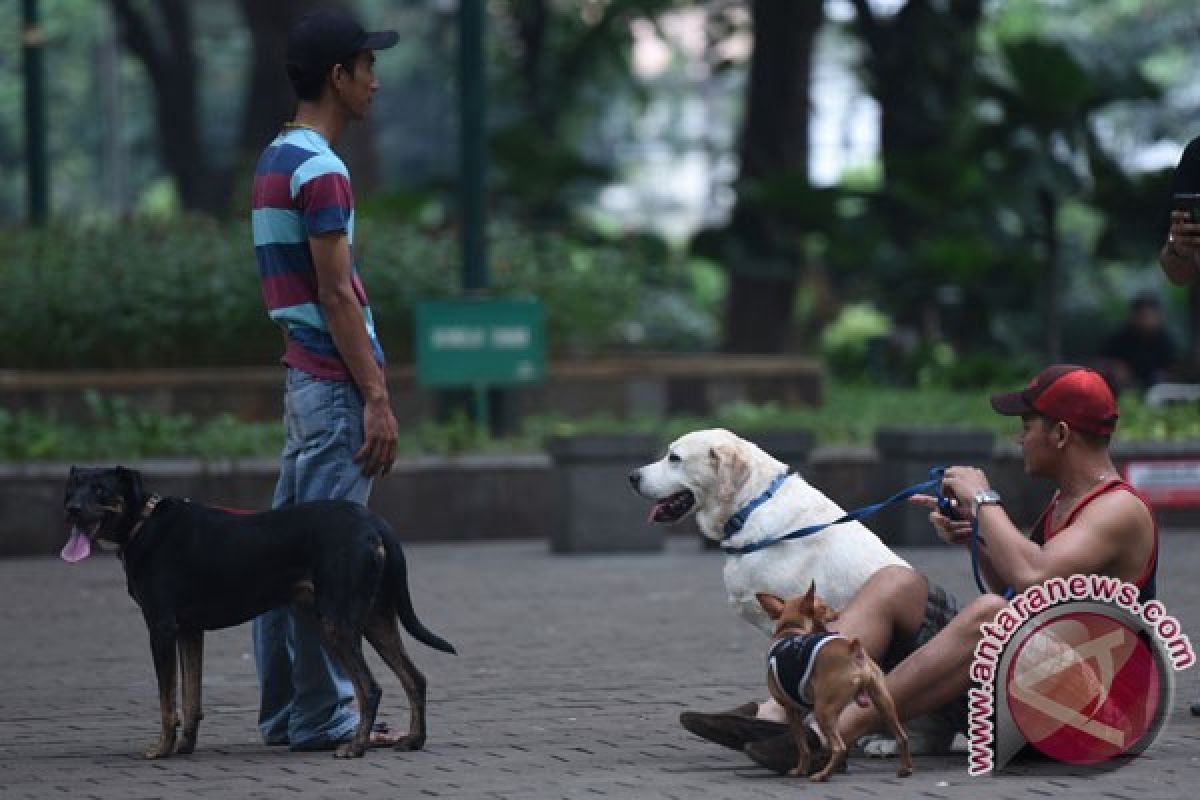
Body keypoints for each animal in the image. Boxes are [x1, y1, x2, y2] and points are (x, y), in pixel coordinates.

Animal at [62, 465, 453, 762]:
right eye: (73, 487)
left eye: (100, 489)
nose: (71, 509)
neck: (143, 523)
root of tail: (375, 523)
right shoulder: (189, 630)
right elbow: (191, 698)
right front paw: (185, 746)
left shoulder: (161, 627)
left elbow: (167, 701)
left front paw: (161, 749)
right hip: (376, 617)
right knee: (415, 678)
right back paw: (413, 740)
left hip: (338, 622)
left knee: (369, 687)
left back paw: (355, 746)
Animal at [753, 582, 912, 782]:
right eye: (824, 607)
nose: (838, 612)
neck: (790, 629)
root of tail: (854, 651)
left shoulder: (792, 710)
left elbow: (802, 747)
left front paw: (800, 770)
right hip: (883, 702)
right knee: (902, 737)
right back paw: (905, 769)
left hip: (824, 710)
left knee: (839, 747)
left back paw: (822, 775)